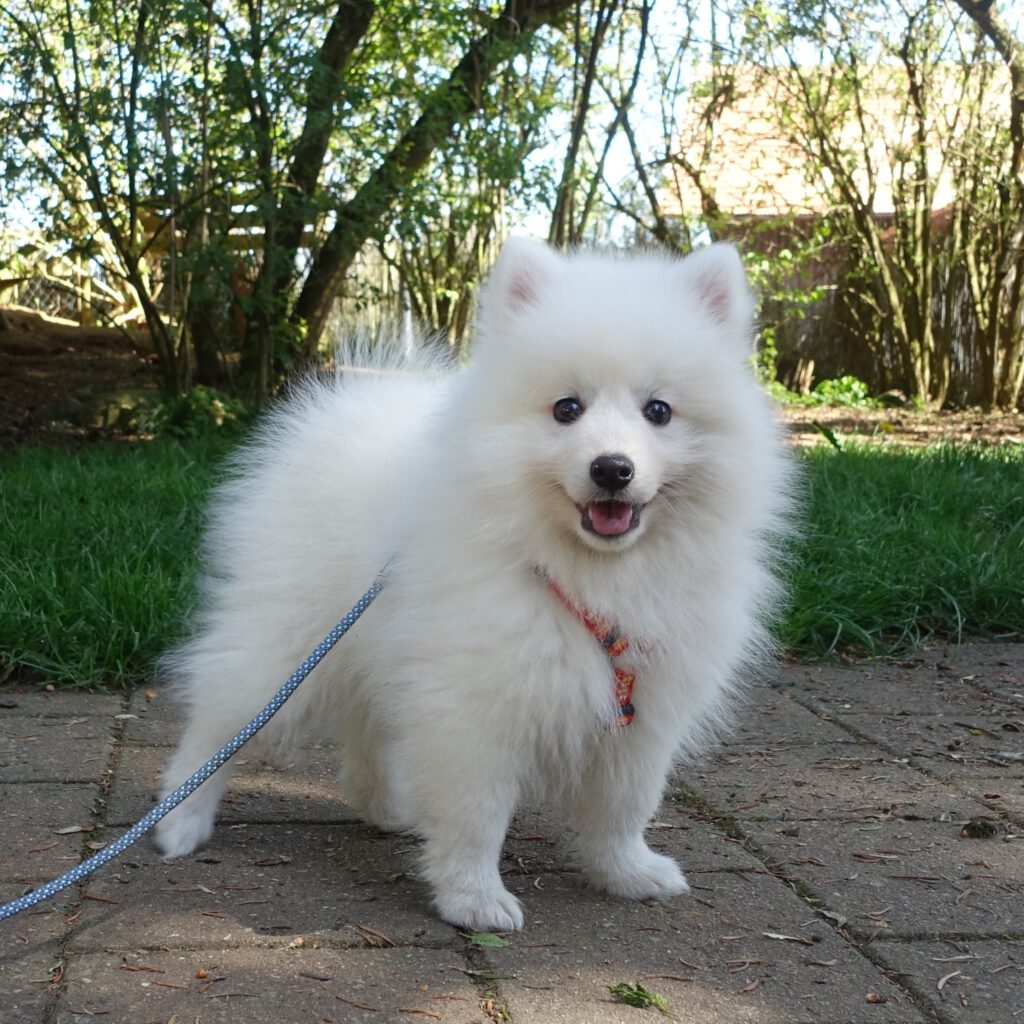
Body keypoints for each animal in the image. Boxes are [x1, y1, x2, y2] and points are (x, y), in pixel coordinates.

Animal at [153, 237, 794, 931]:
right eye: (567, 409)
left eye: (659, 411)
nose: (612, 469)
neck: (585, 572)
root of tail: (348, 411)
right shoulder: (475, 705)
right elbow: (478, 815)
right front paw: (475, 898)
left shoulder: (644, 710)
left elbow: (624, 805)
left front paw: (627, 872)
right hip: (287, 643)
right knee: (217, 725)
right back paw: (180, 822)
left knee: (366, 726)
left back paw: (388, 809)